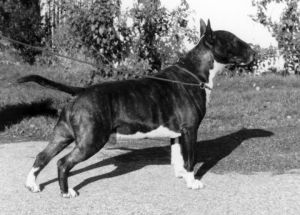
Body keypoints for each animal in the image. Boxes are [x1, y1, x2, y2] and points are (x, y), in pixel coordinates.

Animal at [22, 19, 254, 197]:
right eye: (234, 41)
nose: (254, 50)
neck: (195, 73)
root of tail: (80, 91)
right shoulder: (190, 130)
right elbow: (190, 158)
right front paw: (192, 181)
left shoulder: (178, 133)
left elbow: (177, 156)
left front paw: (180, 175)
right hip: (91, 139)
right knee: (63, 162)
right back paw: (66, 192)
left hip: (63, 134)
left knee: (42, 156)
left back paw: (32, 184)